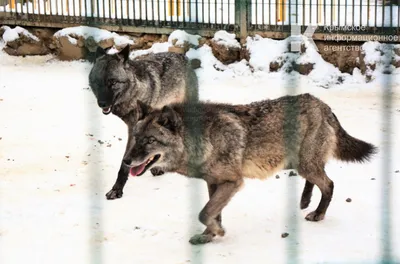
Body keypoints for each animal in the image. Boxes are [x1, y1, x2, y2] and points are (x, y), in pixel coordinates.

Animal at [89, 43, 198, 200]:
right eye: (97, 82)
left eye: (113, 82)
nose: (102, 103)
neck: (134, 93)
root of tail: (182, 56)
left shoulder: (134, 131)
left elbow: (124, 166)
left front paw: (117, 190)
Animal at [121, 93, 376, 245]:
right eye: (136, 137)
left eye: (150, 141)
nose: (126, 161)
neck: (202, 138)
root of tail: (322, 104)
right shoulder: (214, 183)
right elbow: (211, 212)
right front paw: (209, 235)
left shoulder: (233, 182)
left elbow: (204, 212)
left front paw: (217, 233)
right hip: (299, 163)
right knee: (317, 181)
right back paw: (305, 201)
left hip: (305, 164)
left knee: (329, 184)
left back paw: (318, 213)